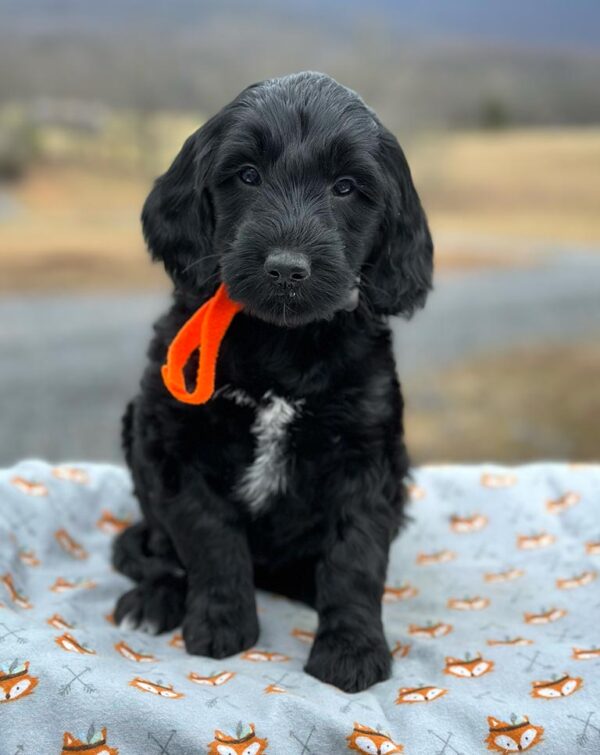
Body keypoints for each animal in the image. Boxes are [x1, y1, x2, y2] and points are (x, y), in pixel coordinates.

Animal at [113, 71, 432, 692]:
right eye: (247, 175)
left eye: (345, 187)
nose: (286, 269)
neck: (282, 341)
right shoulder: (176, 442)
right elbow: (210, 536)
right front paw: (222, 623)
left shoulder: (368, 454)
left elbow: (355, 557)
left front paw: (351, 647)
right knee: (160, 543)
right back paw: (156, 598)